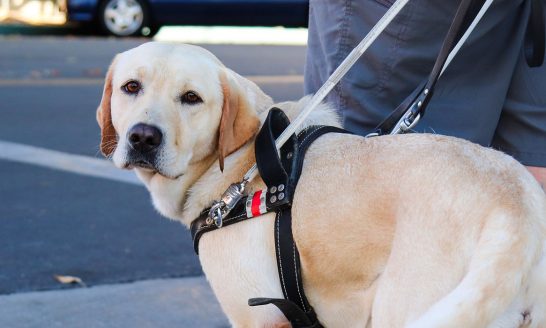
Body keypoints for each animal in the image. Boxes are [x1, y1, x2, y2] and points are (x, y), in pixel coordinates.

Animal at [95, 42, 544, 326]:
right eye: (131, 87)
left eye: (191, 98)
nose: (143, 137)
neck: (242, 167)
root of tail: (517, 206)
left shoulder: (260, 317)